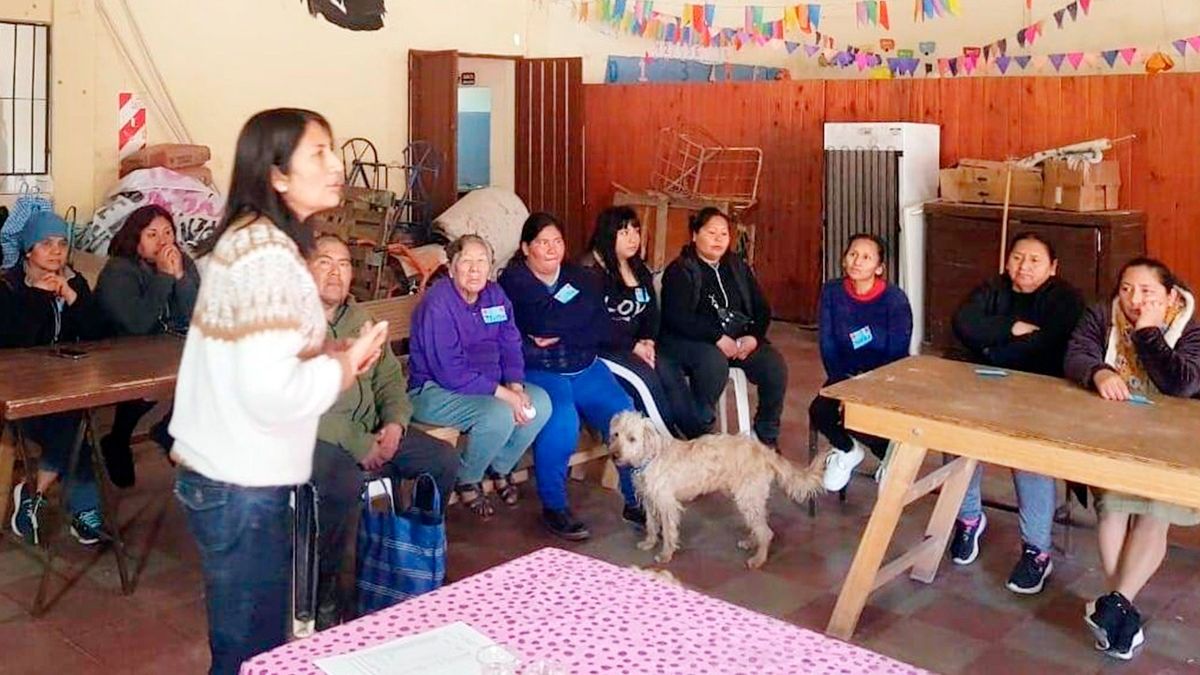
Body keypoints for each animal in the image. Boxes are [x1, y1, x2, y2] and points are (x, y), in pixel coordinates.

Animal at [609, 411, 827, 569]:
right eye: (616, 434)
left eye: (632, 439)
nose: (614, 455)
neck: (650, 457)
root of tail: (764, 450)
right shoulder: (649, 499)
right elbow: (651, 524)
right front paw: (649, 542)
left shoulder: (667, 504)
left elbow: (669, 532)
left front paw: (665, 554)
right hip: (752, 499)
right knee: (760, 523)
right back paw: (751, 542)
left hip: (747, 498)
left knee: (766, 532)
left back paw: (758, 559)